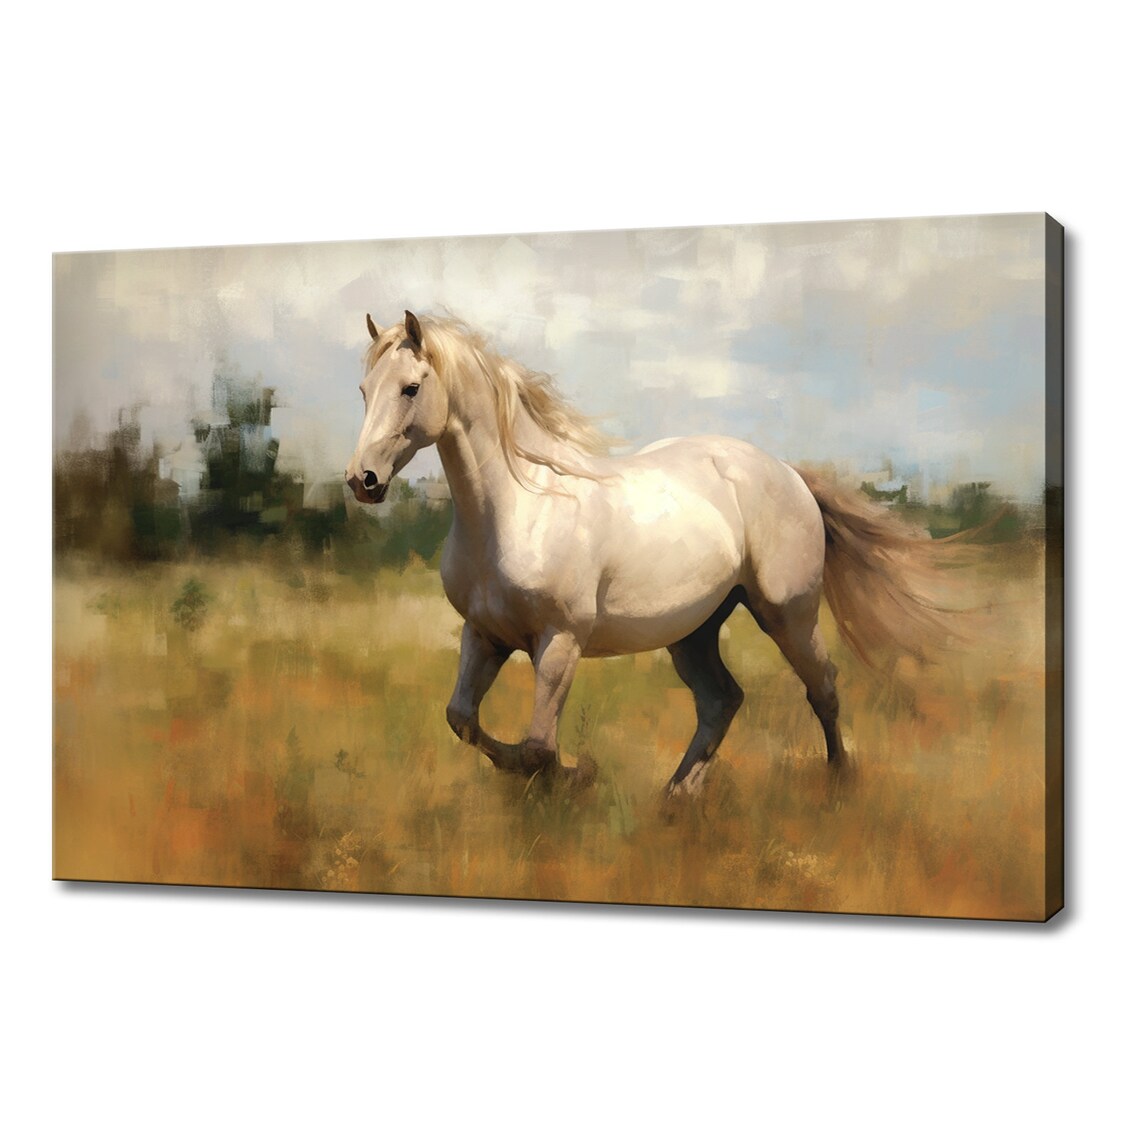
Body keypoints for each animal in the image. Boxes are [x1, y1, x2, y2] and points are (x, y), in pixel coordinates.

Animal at [346, 311, 947, 795]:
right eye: (364, 389)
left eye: (411, 388)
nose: (362, 480)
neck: (519, 508)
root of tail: (788, 472)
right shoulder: (484, 635)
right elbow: (463, 720)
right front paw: (565, 776)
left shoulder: (560, 641)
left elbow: (538, 746)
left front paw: (577, 776)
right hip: (694, 631)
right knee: (722, 701)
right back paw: (677, 796)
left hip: (789, 614)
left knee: (823, 688)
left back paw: (839, 783)